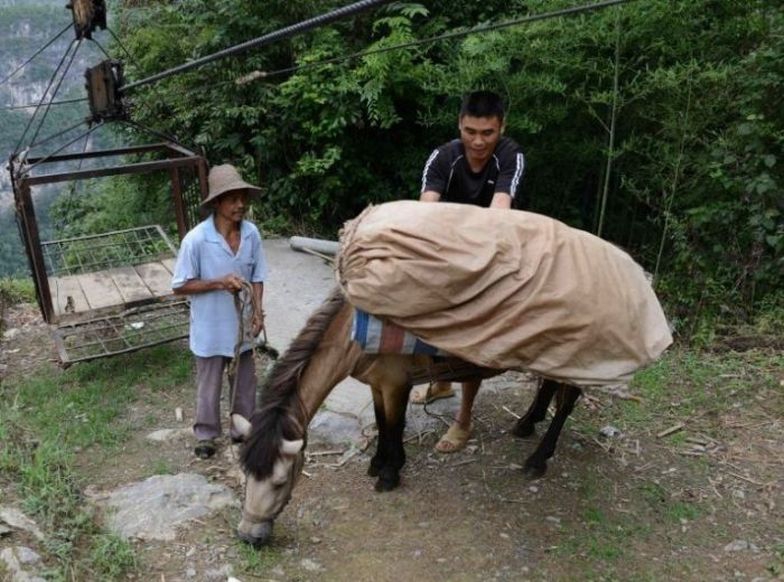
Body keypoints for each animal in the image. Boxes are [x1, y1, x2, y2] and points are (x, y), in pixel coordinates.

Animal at [233, 290, 580, 548]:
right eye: (246, 475)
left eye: (280, 482)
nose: (249, 537)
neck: (356, 333)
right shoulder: (377, 384)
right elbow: (381, 422)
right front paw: (378, 464)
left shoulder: (396, 384)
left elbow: (394, 425)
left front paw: (390, 474)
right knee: (549, 385)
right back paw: (527, 423)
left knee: (567, 400)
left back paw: (539, 458)